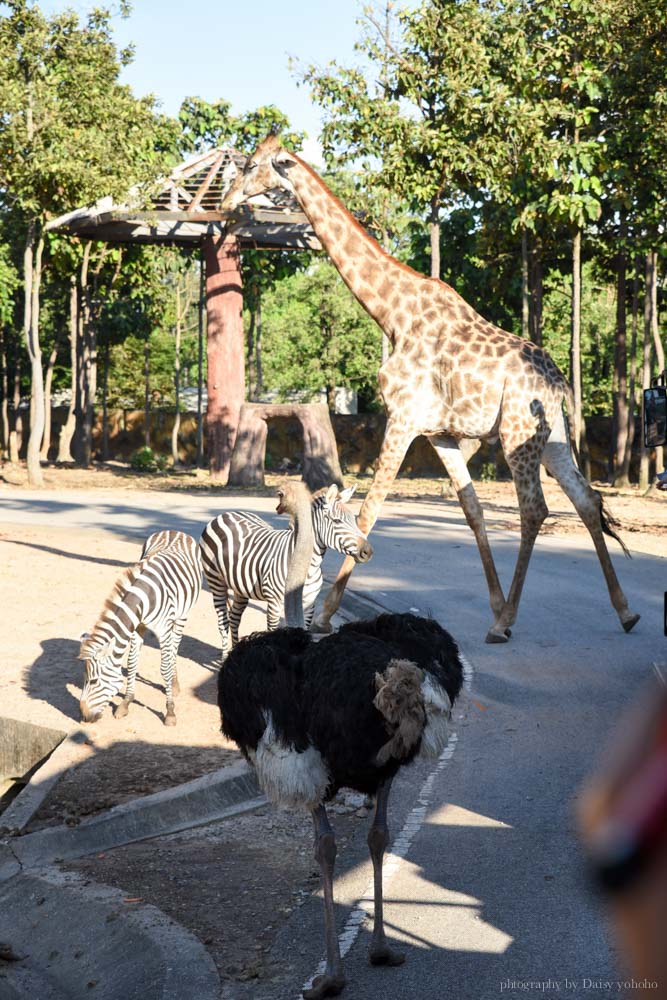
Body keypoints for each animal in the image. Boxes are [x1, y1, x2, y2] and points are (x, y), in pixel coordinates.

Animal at [78, 532, 201, 728]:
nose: (83, 716)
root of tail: (174, 531)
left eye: (94, 680)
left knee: (175, 647)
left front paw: (170, 712)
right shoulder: (137, 628)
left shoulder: (163, 630)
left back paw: (174, 684)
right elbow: (132, 662)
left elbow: (165, 668)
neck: (145, 597)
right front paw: (125, 703)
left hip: (183, 614)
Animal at [198, 482, 376, 656]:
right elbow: (272, 631)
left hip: (240, 587)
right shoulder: (274, 602)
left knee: (235, 618)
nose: (368, 552)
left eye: (354, 520)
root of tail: (226, 514)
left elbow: (303, 630)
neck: (309, 567)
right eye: (337, 521)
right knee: (223, 622)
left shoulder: (309, 603)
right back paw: (224, 657)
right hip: (216, 582)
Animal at [220, 135, 640, 640]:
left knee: (535, 510)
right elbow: (472, 509)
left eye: (252, 165)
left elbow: (369, 509)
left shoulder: (402, 418)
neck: (392, 313)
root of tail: (559, 382)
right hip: (553, 437)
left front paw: (323, 614)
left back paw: (507, 623)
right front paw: (493, 602)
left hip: (518, 435)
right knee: (586, 499)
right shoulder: (441, 433)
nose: (225, 203)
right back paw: (624, 611)